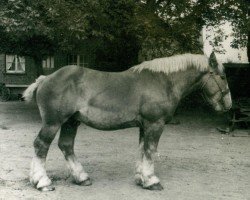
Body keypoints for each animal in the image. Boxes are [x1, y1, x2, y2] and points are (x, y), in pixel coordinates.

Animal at [23, 52, 232, 191]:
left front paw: (141, 178)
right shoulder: (155, 124)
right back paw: (42, 182)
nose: (229, 105)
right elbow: (150, 151)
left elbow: (142, 150)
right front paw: (151, 180)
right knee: (41, 145)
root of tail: (45, 79)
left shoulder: (144, 126)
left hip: (71, 122)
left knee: (66, 146)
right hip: (53, 123)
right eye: (222, 76)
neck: (163, 81)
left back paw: (81, 178)